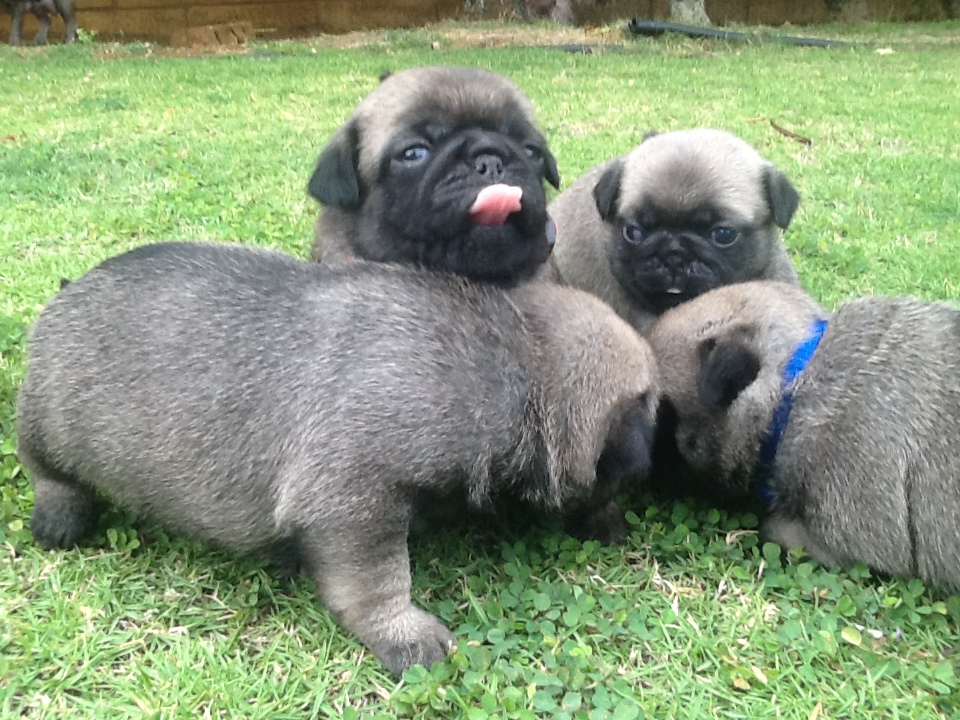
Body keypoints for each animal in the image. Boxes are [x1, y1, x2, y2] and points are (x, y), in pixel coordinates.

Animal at [16, 242, 660, 676]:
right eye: (654, 408)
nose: (623, 526)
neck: (519, 364)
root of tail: (67, 291)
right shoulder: (355, 505)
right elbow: (377, 582)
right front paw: (406, 635)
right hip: (46, 430)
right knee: (49, 476)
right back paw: (60, 519)